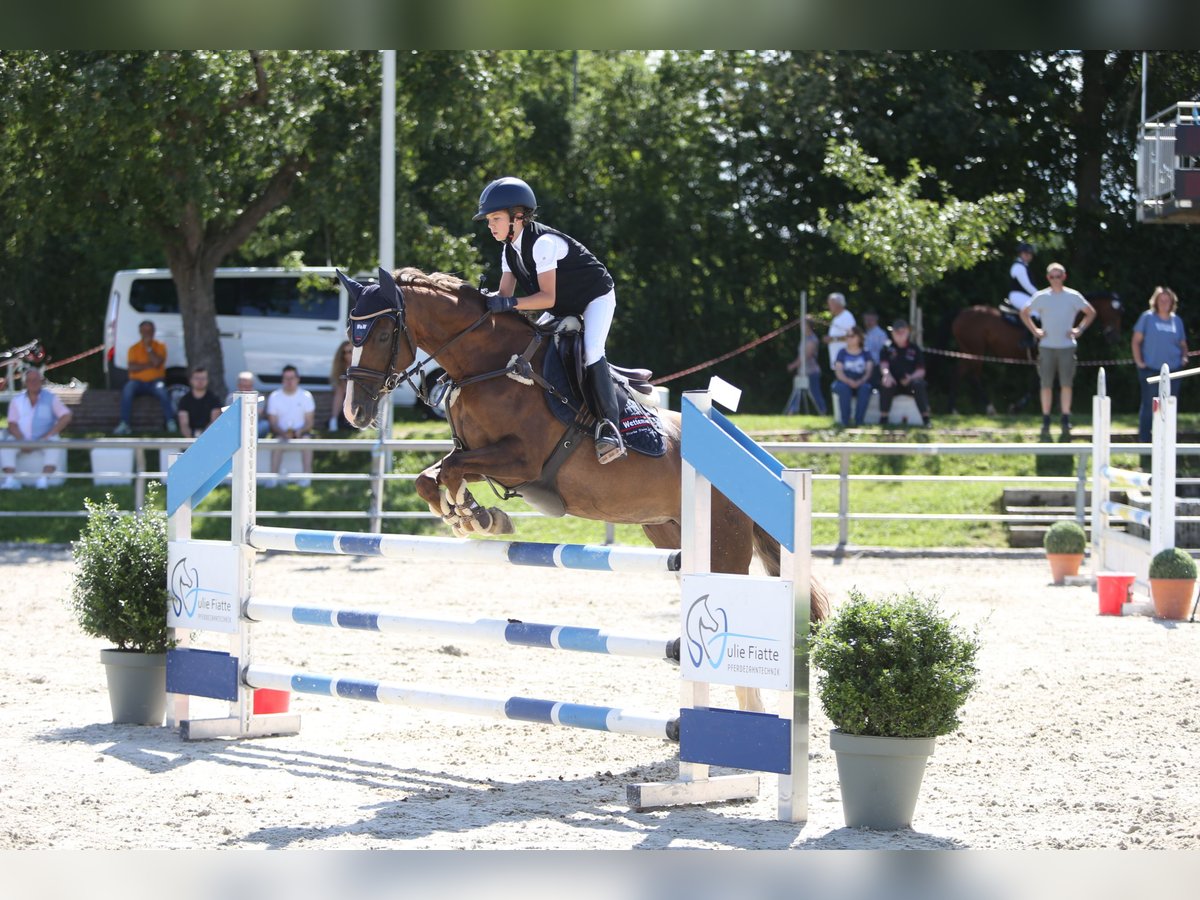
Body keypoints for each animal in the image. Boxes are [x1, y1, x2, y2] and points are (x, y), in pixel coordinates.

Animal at [338, 267, 825, 710]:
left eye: (383, 334)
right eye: (350, 334)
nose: (355, 412)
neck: (489, 366)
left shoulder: (521, 460)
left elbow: (453, 471)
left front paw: (474, 517)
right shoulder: (484, 457)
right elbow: (431, 477)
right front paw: (472, 515)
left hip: (722, 542)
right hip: (668, 532)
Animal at [945, 292, 1123, 415]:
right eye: (1114, 312)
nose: (1115, 337)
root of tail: (962, 313)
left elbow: (1051, 381)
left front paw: (1058, 406)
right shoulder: (1042, 356)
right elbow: (1037, 383)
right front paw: (1016, 407)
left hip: (968, 351)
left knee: (958, 372)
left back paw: (954, 408)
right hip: (976, 351)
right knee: (973, 376)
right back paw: (988, 407)